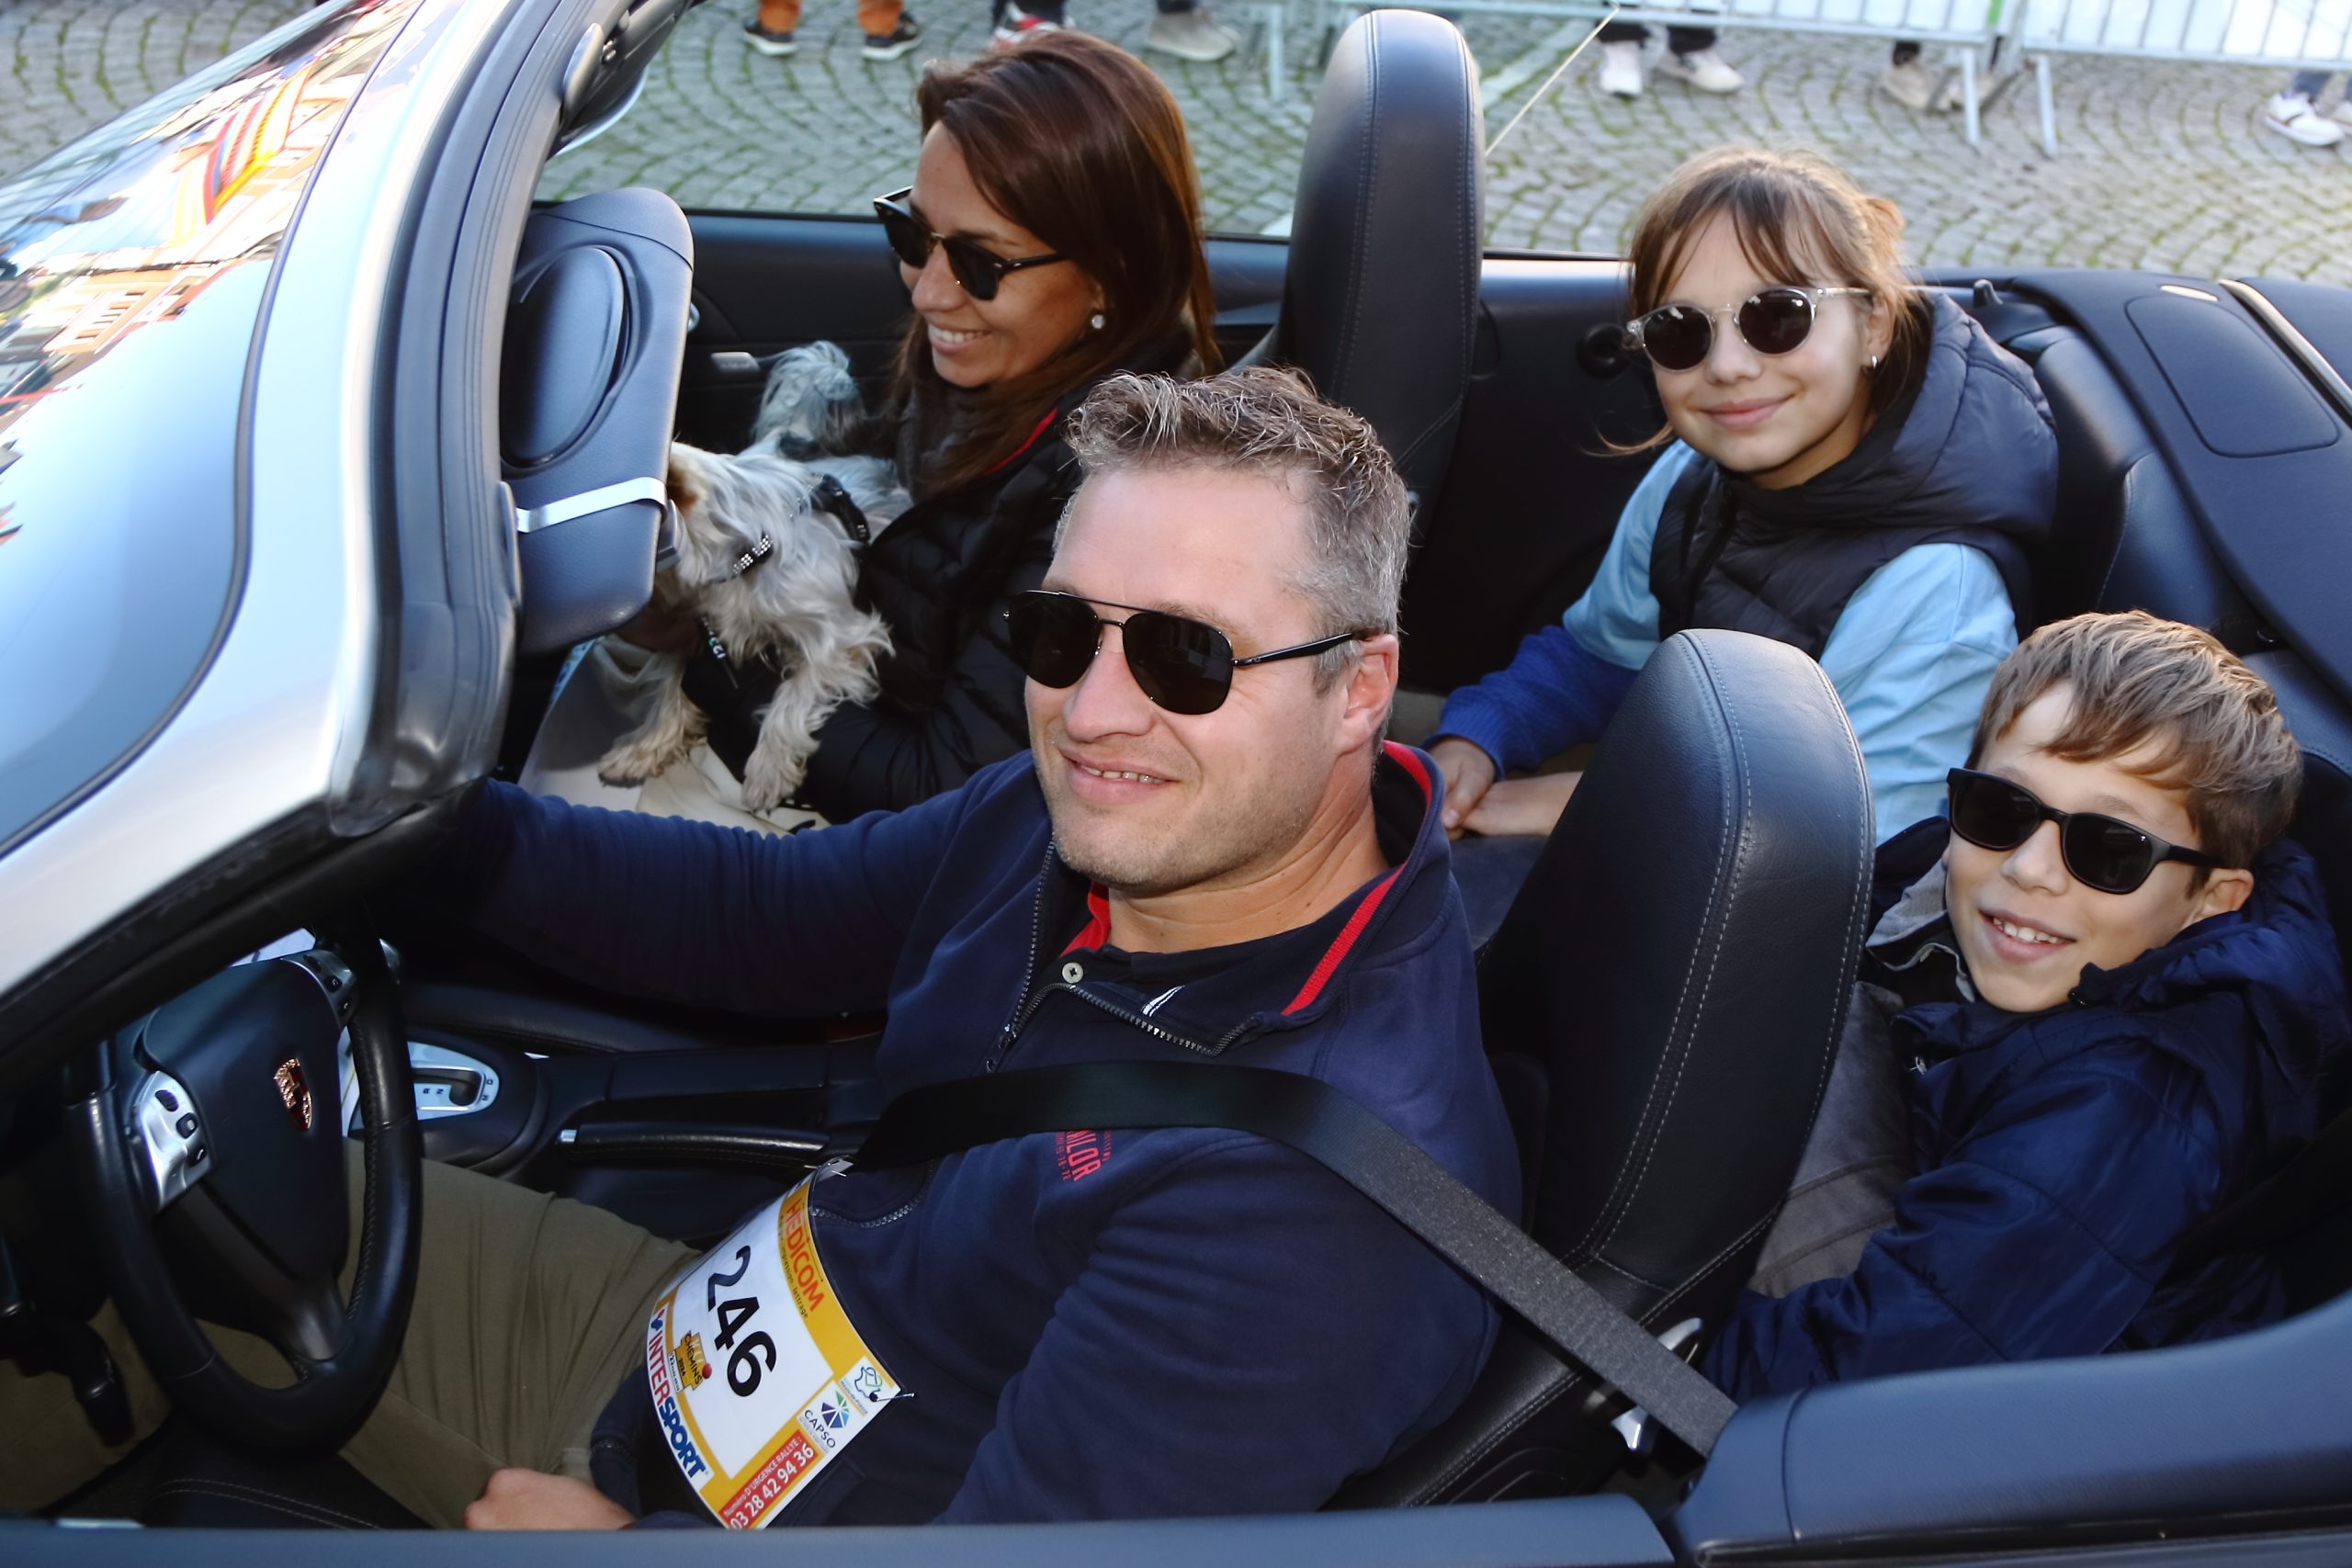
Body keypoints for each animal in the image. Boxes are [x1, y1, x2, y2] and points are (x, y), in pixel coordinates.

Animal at [597, 344, 910, 812]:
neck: (748, 555)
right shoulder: (698, 628)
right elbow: (671, 689)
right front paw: (644, 748)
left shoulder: (843, 639)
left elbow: (794, 693)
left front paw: (769, 768)